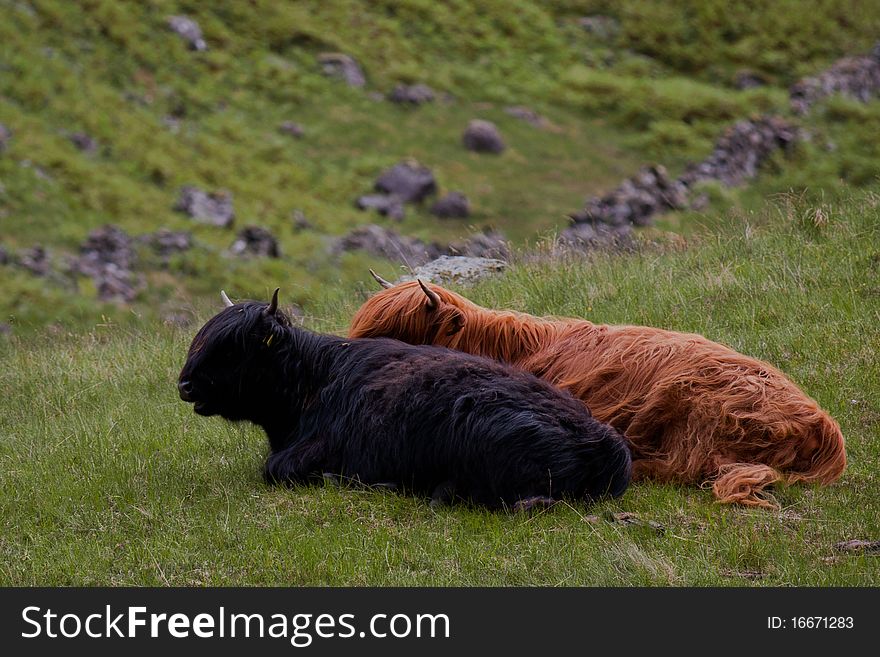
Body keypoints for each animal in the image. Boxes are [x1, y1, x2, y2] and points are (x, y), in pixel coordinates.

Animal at [179, 290, 628, 510]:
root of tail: (607, 446)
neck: (314, 378)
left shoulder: (309, 453)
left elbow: (275, 469)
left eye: (231, 349)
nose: (184, 385)